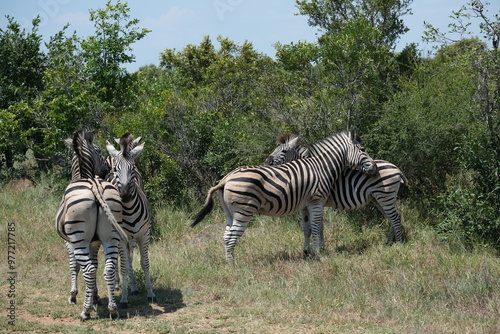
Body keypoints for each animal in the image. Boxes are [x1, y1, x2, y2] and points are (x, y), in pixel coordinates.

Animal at [55, 130, 129, 320]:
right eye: (99, 150)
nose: (107, 170)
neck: (83, 175)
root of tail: (95, 184)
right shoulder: (94, 242)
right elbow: (95, 265)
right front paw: (95, 296)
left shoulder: (69, 242)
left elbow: (75, 266)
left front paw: (73, 295)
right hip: (111, 234)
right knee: (108, 268)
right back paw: (112, 309)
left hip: (79, 237)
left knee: (87, 269)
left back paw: (85, 312)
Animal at [107, 132, 156, 300]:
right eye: (117, 169)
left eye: (133, 167)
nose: (126, 195)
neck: (128, 210)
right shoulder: (122, 237)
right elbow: (123, 266)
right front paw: (124, 298)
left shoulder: (144, 234)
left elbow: (144, 263)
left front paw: (150, 293)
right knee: (118, 259)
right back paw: (118, 284)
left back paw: (132, 286)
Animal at [189, 130, 376, 260]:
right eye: (363, 149)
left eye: (284, 151)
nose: (374, 168)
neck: (321, 167)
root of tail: (225, 179)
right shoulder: (316, 202)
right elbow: (317, 228)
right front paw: (319, 254)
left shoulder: (306, 205)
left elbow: (308, 229)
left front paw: (308, 253)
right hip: (244, 211)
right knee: (232, 236)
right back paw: (233, 265)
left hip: (229, 212)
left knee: (226, 235)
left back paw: (229, 262)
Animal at [264, 132, 408, 248]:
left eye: (283, 151)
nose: (266, 162)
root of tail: (396, 168)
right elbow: (319, 226)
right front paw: (321, 246)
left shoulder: (318, 202)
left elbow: (318, 226)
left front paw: (321, 247)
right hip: (378, 199)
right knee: (391, 218)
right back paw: (389, 243)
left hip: (385, 197)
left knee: (395, 218)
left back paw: (399, 245)